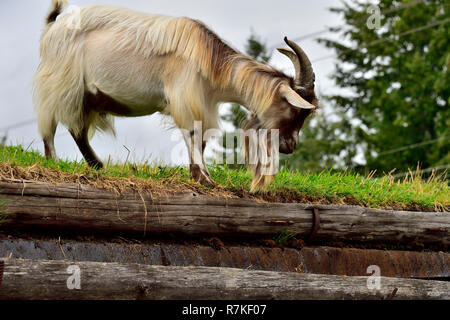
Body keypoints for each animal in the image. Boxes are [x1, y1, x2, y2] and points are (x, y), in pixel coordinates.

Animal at [35, 0, 318, 190]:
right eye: (296, 110)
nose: (289, 146)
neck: (211, 62)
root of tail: (52, 27)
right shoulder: (187, 99)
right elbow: (193, 134)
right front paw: (204, 178)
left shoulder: (203, 103)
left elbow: (201, 140)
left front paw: (199, 174)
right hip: (61, 86)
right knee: (52, 125)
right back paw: (54, 161)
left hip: (89, 97)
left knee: (78, 129)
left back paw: (96, 164)